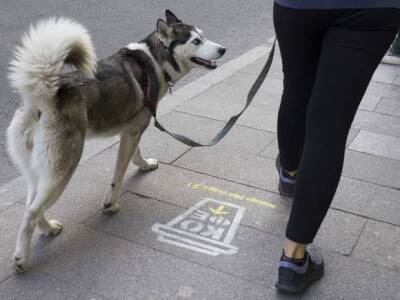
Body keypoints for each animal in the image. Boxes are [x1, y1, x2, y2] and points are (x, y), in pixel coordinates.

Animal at [7, 9, 225, 274]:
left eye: (203, 35)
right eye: (195, 41)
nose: (223, 49)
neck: (154, 61)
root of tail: (40, 98)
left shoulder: (131, 130)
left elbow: (137, 154)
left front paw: (144, 165)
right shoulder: (133, 131)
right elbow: (118, 174)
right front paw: (110, 204)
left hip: (39, 170)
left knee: (30, 205)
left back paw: (48, 229)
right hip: (63, 168)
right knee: (30, 212)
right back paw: (22, 259)